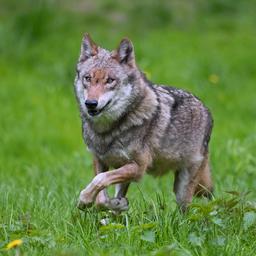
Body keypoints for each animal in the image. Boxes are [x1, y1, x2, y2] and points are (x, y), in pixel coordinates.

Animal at [74, 34, 214, 213]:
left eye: (110, 80)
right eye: (88, 78)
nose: (90, 103)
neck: (108, 131)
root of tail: (206, 109)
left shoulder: (138, 167)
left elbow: (99, 180)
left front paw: (84, 199)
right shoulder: (100, 160)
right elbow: (101, 197)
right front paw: (113, 204)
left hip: (182, 190)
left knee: (186, 211)